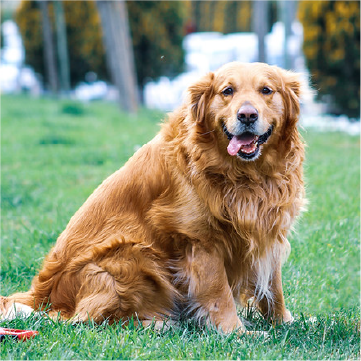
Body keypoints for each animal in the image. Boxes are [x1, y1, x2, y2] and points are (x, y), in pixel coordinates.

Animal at [0, 61, 304, 332]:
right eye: (227, 91)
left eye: (266, 90)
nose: (247, 115)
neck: (245, 175)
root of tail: (40, 297)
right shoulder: (201, 240)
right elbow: (219, 295)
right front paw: (235, 333)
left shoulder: (267, 231)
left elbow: (274, 289)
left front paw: (286, 323)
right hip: (132, 253)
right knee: (89, 321)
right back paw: (159, 324)